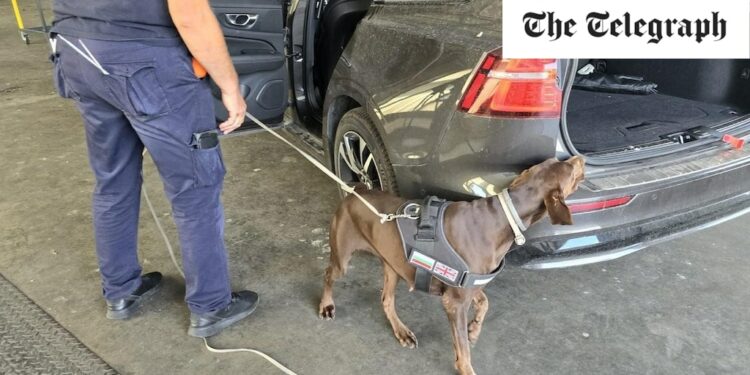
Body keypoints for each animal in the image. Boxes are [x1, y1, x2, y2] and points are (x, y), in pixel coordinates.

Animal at [318, 157, 588, 374]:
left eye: (558, 161)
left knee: (386, 299)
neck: (503, 218)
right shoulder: (454, 302)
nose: (581, 158)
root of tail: (357, 189)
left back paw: (402, 331)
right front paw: (466, 363)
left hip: (392, 263)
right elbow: (464, 351)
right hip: (343, 254)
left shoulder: (470, 281)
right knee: (329, 273)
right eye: (570, 170)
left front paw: (474, 329)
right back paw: (326, 306)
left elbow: (484, 303)